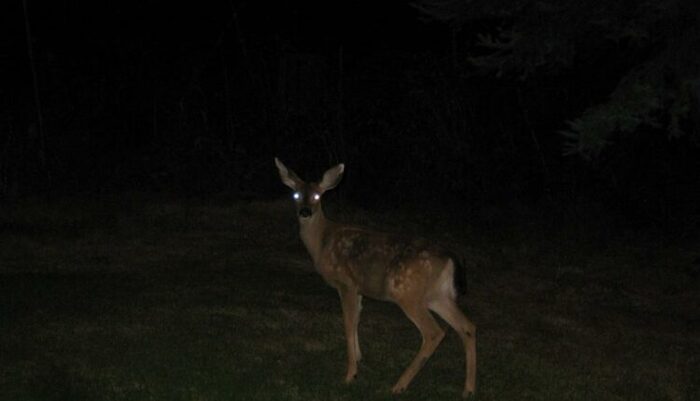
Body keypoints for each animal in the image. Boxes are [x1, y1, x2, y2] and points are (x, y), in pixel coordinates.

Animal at [274, 158, 476, 396]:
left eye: (317, 196)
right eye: (296, 194)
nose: (305, 212)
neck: (322, 242)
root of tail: (450, 257)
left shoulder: (346, 283)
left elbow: (348, 322)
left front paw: (350, 374)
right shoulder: (359, 289)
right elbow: (356, 320)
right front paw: (359, 359)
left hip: (408, 293)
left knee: (434, 332)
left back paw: (399, 385)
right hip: (438, 296)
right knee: (468, 327)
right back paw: (468, 389)